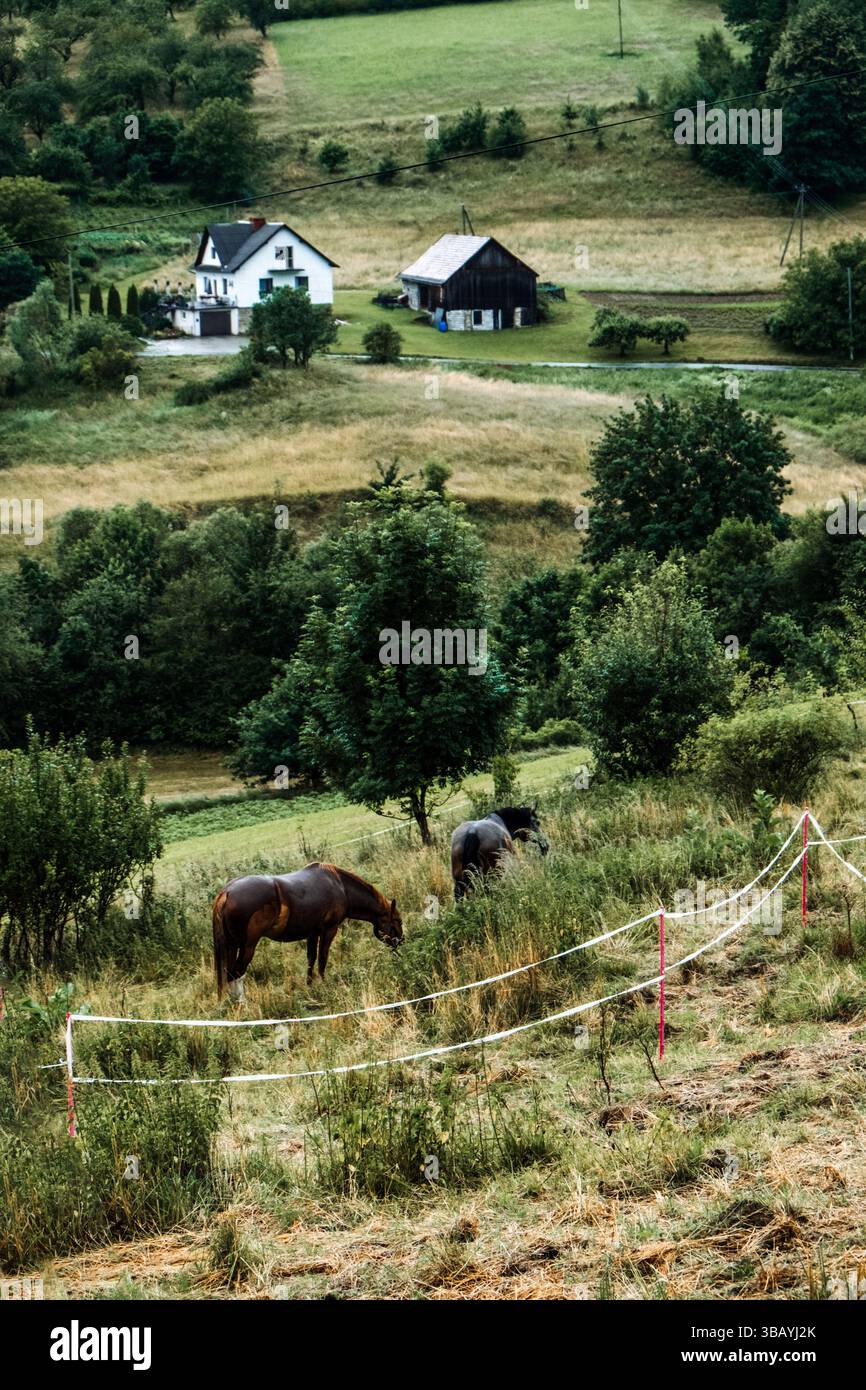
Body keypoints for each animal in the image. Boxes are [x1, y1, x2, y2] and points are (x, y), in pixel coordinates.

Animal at [212, 862, 403, 1002]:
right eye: (397, 921)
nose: (401, 941)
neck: (340, 886)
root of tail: (226, 892)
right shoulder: (329, 930)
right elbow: (322, 958)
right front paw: (324, 984)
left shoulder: (312, 933)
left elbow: (311, 959)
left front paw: (310, 985)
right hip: (247, 947)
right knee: (236, 973)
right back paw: (242, 1003)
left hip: (232, 946)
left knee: (229, 973)